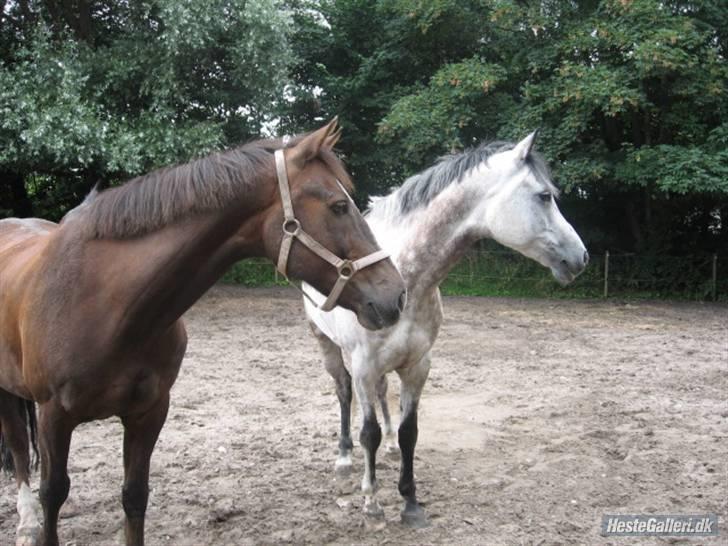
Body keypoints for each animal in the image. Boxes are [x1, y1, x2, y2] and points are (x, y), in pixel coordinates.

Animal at [0, 120, 406, 544]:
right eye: (338, 206)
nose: (395, 294)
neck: (108, 306)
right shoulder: (53, 416)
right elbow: (53, 492)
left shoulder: (150, 412)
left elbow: (134, 496)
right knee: (18, 447)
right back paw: (26, 521)